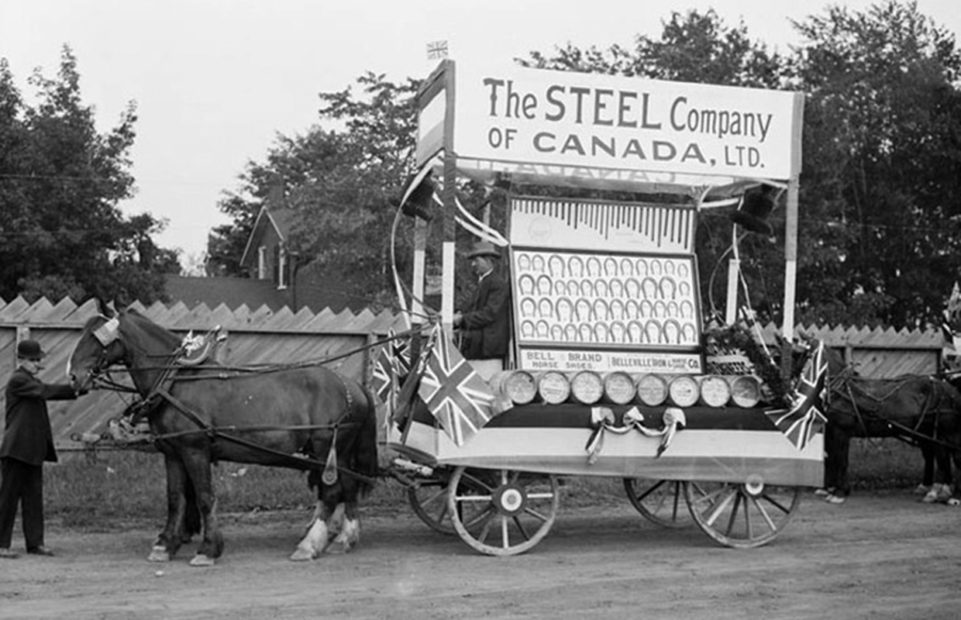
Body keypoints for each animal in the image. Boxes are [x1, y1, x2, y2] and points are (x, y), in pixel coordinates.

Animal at [68, 308, 378, 564]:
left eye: (98, 339)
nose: (73, 377)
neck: (175, 382)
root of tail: (353, 386)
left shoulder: (194, 450)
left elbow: (204, 497)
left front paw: (208, 549)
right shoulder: (173, 453)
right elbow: (175, 498)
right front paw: (166, 545)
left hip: (326, 448)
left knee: (332, 493)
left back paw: (310, 545)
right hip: (339, 454)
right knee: (348, 487)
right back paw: (344, 538)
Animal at [820, 346, 961, 506]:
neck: (842, 390)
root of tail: (948, 388)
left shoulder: (841, 431)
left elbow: (840, 460)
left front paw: (839, 492)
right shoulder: (833, 430)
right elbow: (831, 457)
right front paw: (832, 489)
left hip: (945, 431)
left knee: (951, 456)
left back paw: (948, 494)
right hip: (929, 432)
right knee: (937, 456)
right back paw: (935, 490)